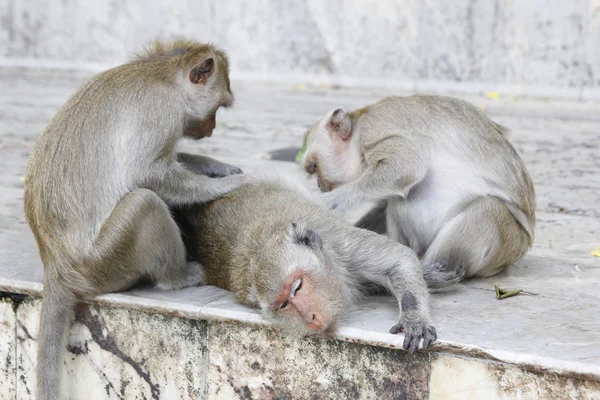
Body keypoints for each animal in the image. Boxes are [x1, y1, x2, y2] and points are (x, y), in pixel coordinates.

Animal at [23, 38, 248, 400]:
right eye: (218, 107)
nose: (212, 128)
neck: (165, 74)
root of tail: (55, 266)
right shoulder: (163, 113)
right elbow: (147, 173)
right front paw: (223, 185)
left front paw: (213, 166)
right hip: (104, 262)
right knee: (145, 202)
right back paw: (178, 277)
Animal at [173, 181, 464, 354]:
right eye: (283, 305)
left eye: (297, 286)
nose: (310, 318)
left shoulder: (342, 244)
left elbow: (398, 259)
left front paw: (414, 318)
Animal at [300, 95, 536, 280]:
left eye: (314, 167)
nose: (320, 185)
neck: (359, 125)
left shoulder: (376, 126)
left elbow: (407, 165)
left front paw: (324, 203)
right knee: (396, 202)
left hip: (508, 243)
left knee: (488, 208)